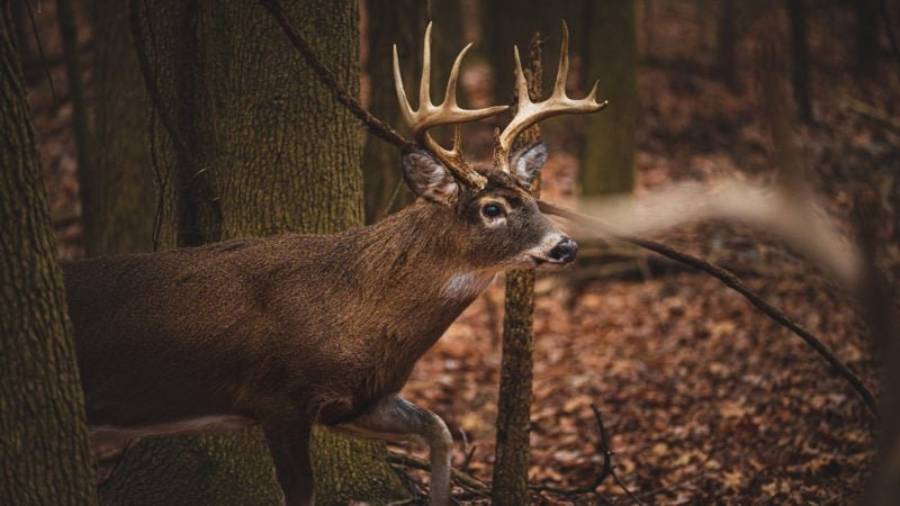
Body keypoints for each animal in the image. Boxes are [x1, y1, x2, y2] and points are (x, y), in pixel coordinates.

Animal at [65, 22, 604, 506]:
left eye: (531, 198)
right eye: (492, 209)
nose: (565, 247)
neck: (356, 312)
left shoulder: (358, 399)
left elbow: (439, 430)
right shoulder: (277, 397)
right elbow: (302, 491)